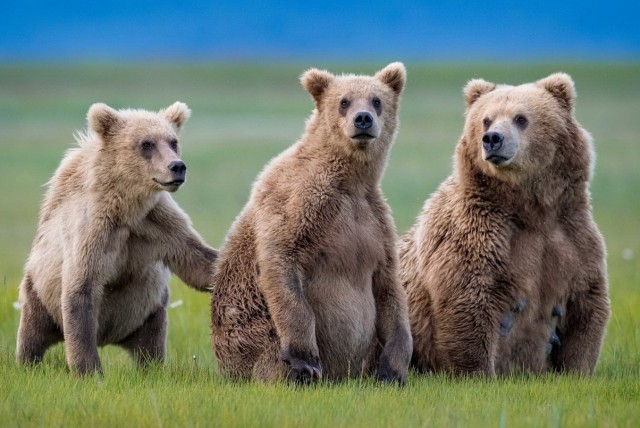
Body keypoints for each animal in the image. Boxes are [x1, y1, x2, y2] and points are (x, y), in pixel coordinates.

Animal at [16, 102, 218, 372]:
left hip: (148, 310)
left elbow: (197, 262)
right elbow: (81, 290)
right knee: (33, 332)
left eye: (173, 141)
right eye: (146, 144)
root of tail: (111, 338)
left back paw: (152, 367)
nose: (177, 167)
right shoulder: (93, 231)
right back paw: (28, 361)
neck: (126, 209)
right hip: (39, 290)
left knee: (151, 341)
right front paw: (89, 369)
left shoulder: (159, 225)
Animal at [210, 61, 410, 384]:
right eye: (344, 102)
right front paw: (305, 360)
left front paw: (392, 370)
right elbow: (282, 259)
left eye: (377, 101)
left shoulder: (375, 221)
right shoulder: (302, 202)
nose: (363, 119)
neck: (350, 181)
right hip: (250, 334)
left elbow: (388, 286)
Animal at [400, 72, 608, 374]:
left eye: (521, 118)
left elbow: (585, 304)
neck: (530, 210)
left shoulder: (572, 237)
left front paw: (577, 371)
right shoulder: (478, 235)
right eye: (486, 119)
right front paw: (477, 372)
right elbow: (469, 300)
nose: (492, 139)